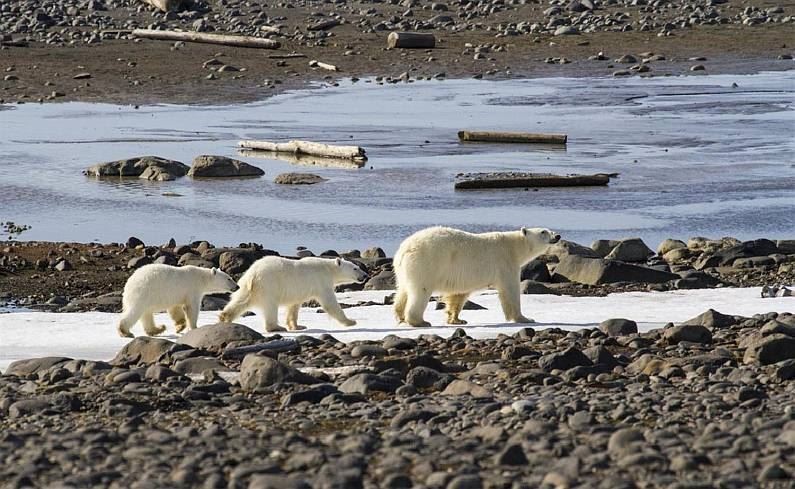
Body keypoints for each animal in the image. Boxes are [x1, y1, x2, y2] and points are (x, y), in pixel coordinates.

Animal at [218, 255, 366, 332]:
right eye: (355, 268)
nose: (365, 275)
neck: (329, 269)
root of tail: (253, 274)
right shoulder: (321, 282)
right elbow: (330, 303)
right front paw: (351, 321)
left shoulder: (298, 290)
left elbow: (294, 306)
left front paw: (297, 326)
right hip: (269, 285)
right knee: (270, 307)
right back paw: (276, 327)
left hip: (246, 287)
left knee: (240, 301)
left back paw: (224, 317)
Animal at [394, 226, 560, 326]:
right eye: (543, 231)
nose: (558, 235)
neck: (513, 247)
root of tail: (404, 249)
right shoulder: (505, 263)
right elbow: (510, 291)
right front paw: (525, 318)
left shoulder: (463, 276)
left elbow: (459, 295)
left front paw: (457, 319)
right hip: (426, 263)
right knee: (420, 291)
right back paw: (419, 321)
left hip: (403, 270)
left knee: (402, 290)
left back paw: (400, 315)